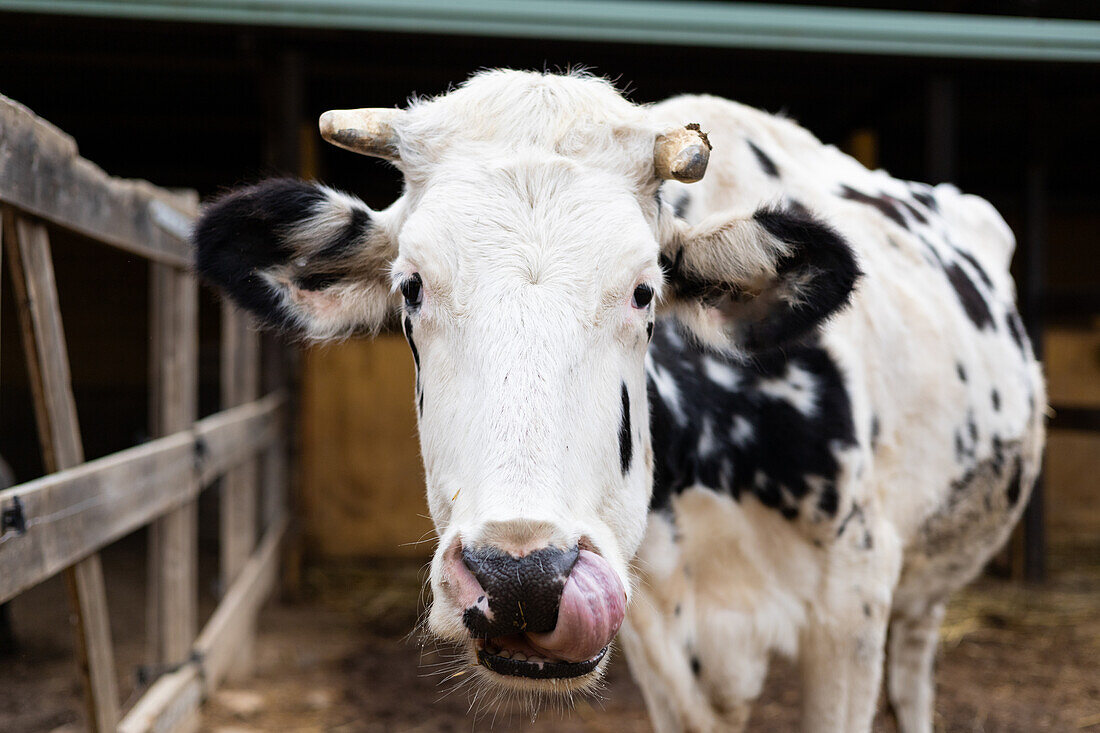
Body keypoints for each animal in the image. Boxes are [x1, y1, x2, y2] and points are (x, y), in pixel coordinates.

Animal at [193, 69, 1042, 730]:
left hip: (925, 578)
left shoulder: (853, 602)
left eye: (644, 290)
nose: (522, 577)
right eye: (412, 286)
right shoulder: (660, 632)